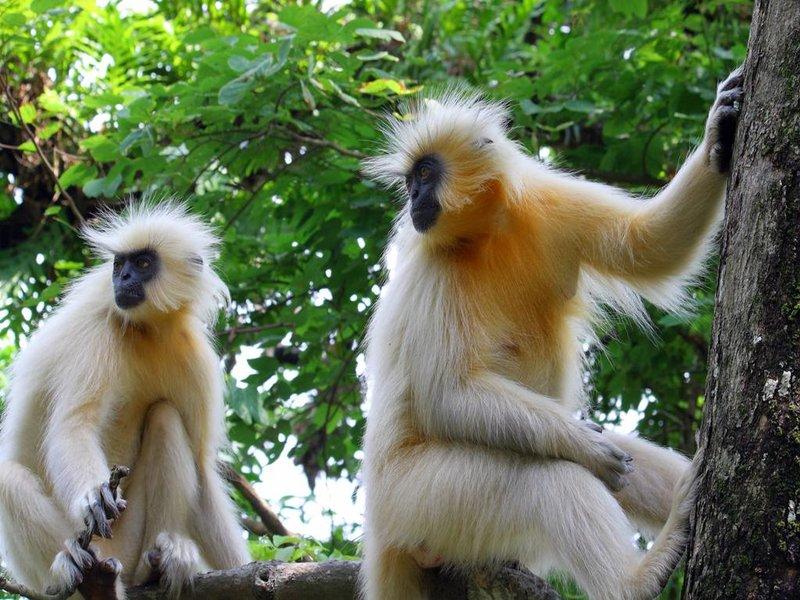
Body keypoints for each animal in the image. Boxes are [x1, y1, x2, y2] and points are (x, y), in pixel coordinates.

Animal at [0, 203, 250, 600]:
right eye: (120, 265)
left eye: (143, 262)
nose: (124, 277)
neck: (146, 332)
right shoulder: (99, 332)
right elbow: (74, 426)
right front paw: (92, 495)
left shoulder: (194, 358)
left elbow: (202, 472)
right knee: (8, 478)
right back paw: (85, 577)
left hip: (131, 544)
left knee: (164, 417)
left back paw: (159, 563)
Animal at [358, 65, 744, 600]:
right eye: (412, 181)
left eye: (424, 175)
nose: (413, 198)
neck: (488, 236)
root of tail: (381, 537)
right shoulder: (435, 270)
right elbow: (447, 395)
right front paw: (586, 446)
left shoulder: (549, 208)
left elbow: (647, 245)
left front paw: (718, 133)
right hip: (420, 502)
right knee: (546, 477)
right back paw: (639, 578)